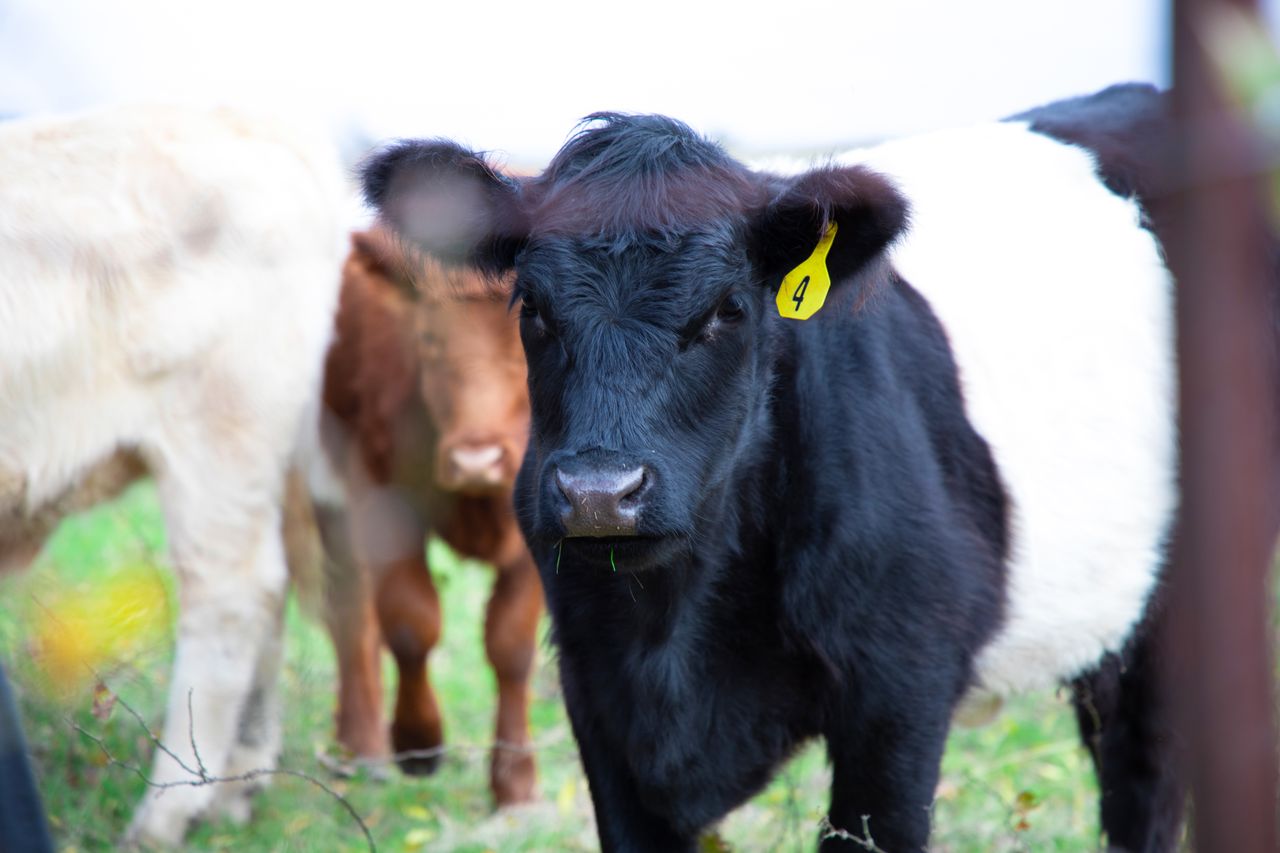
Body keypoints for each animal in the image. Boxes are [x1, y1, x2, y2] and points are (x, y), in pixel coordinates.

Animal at [304, 226, 542, 806]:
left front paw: (516, 784)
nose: (477, 459)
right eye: (429, 340)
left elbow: (512, 645)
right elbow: (411, 622)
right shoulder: (379, 496)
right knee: (351, 610)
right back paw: (361, 746)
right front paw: (417, 742)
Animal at [358, 84, 1206, 851]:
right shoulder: (596, 689)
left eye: (725, 311)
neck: (674, 631)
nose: (600, 493)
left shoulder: (900, 688)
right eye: (532, 307)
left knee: (1144, 783)